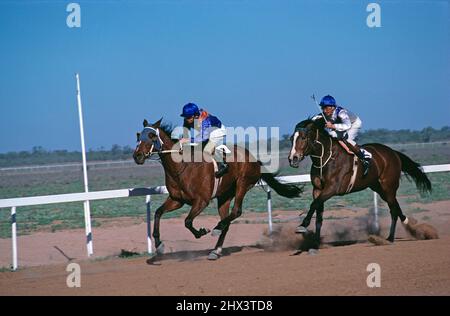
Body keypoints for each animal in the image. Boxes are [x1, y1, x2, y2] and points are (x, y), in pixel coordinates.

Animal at [134, 118, 302, 260]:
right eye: (138, 135)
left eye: (151, 135)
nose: (137, 156)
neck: (180, 167)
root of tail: (255, 159)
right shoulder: (177, 200)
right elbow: (158, 213)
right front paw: (159, 245)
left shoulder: (202, 200)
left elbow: (187, 221)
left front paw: (201, 232)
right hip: (224, 196)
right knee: (226, 221)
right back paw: (216, 250)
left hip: (243, 184)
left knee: (236, 212)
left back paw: (216, 229)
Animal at [288, 116, 432, 249]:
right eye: (291, 139)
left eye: (303, 138)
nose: (292, 158)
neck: (326, 157)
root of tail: (393, 152)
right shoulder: (317, 189)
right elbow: (318, 214)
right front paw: (316, 241)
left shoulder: (332, 188)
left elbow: (314, 204)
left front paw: (302, 225)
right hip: (379, 188)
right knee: (396, 207)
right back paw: (409, 226)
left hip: (388, 186)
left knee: (393, 210)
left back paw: (390, 238)